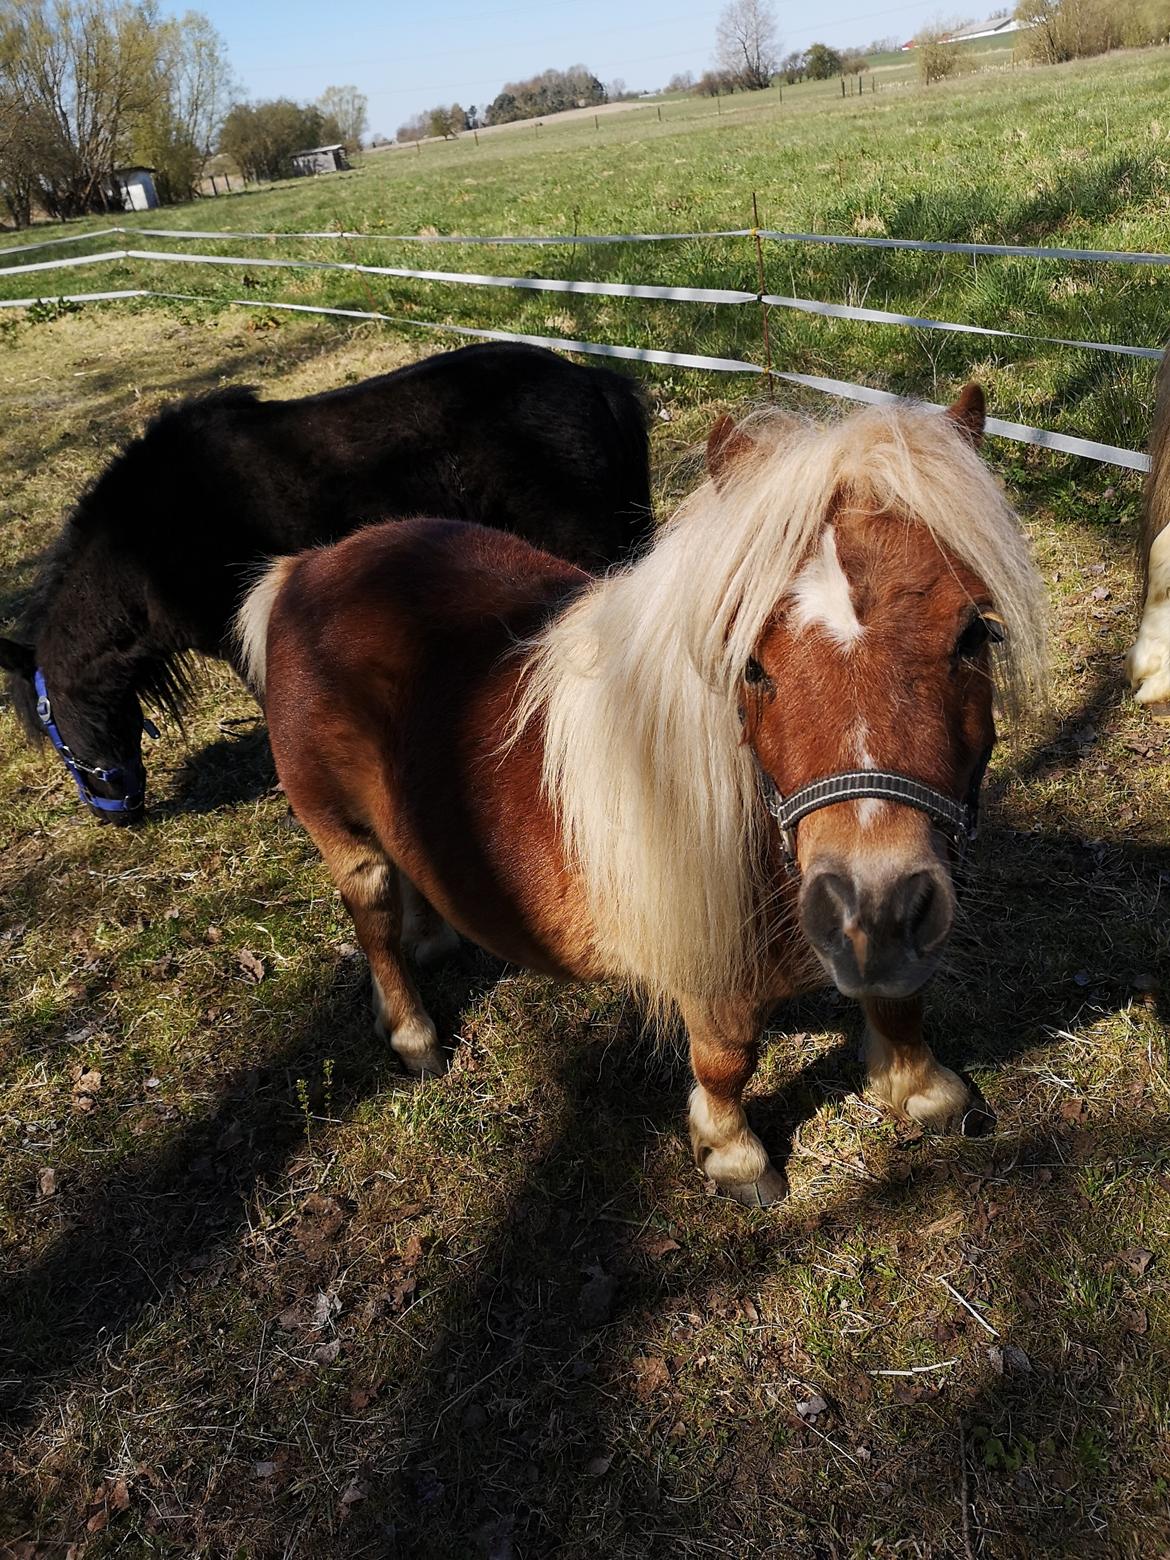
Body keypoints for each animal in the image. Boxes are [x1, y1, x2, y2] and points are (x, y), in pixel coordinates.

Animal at [243, 390, 1048, 1204]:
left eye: (975, 634)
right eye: (749, 665)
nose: (874, 903)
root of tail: (307, 568)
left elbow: (901, 999)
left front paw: (921, 1088)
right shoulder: (705, 954)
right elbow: (727, 1056)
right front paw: (732, 1154)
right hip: (342, 835)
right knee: (373, 918)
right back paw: (412, 1034)